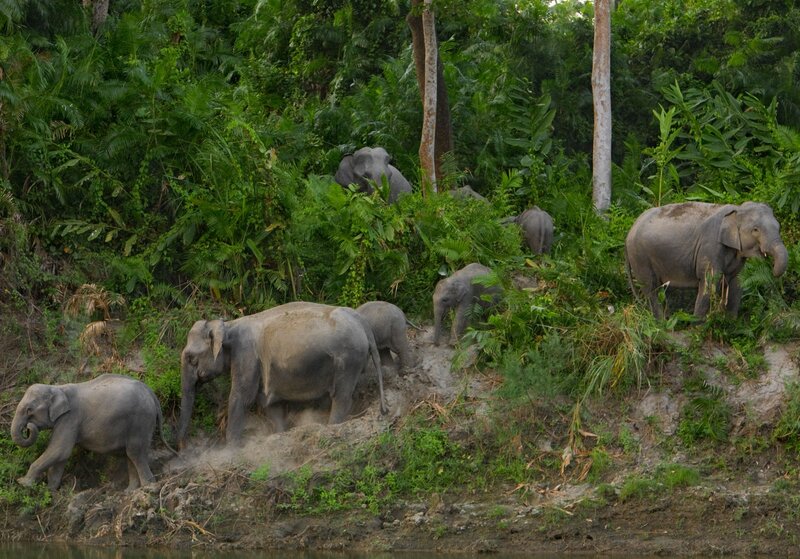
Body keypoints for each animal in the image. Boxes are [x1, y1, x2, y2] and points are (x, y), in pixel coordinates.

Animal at [11, 374, 173, 491]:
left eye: (29, 410)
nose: (28, 427)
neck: (57, 387)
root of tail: (151, 392)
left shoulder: (70, 418)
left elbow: (59, 450)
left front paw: (23, 483)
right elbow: (60, 456)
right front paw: (51, 491)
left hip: (140, 420)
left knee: (135, 452)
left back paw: (148, 487)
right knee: (131, 454)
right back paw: (130, 491)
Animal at [178, 302, 386, 448]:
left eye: (191, 358)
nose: (182, 447)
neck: (228, 325)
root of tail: (362, 322)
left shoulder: (246, 355)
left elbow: (241, 398)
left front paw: (230, 449)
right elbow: (269, 403)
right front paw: (278, 434)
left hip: (348, 358)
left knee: (341, 396)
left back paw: (331, 426)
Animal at [625, 201, 788, 319]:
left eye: (779, 227)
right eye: (755, 230)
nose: (772, 271)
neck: (737, 209)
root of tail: (629, 232)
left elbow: (736, 283)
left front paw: (731, 324)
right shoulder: (710, 247)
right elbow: (710, 283)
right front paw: (697, 329)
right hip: (640, 257)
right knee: (651, 289)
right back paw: (661, 323)